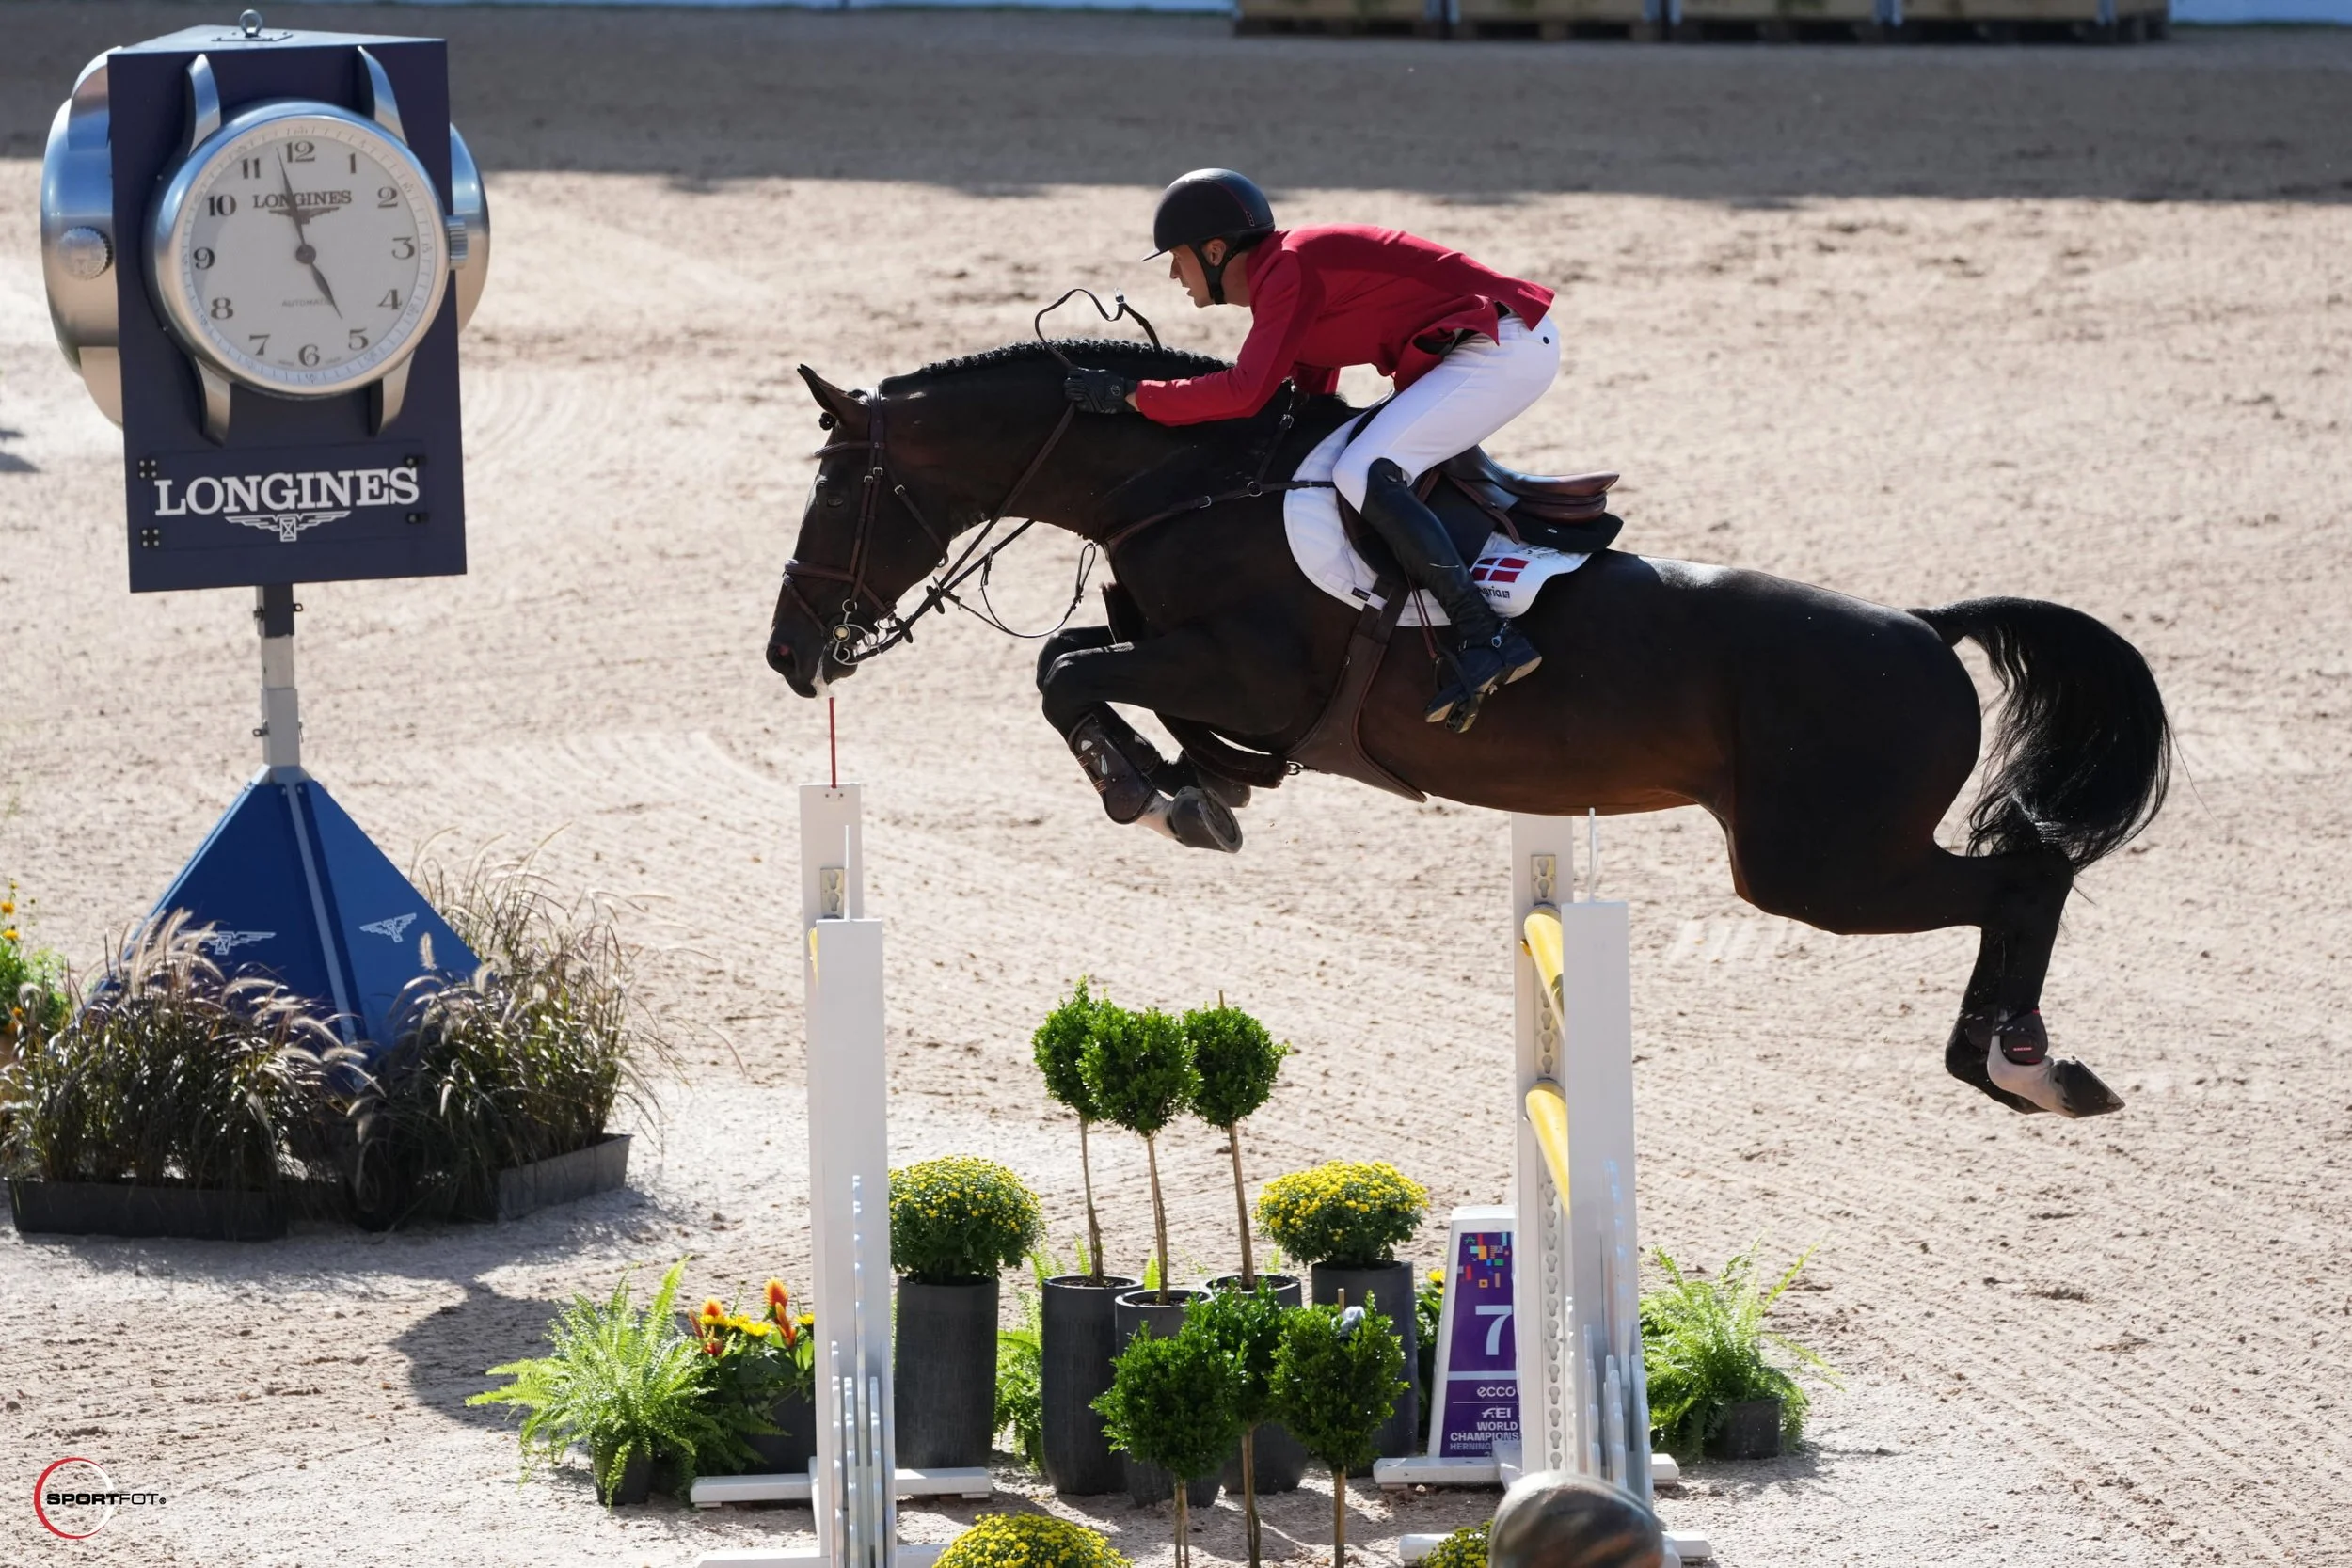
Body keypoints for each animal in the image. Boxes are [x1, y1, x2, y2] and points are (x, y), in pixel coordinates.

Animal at [766, 339, 2171, 1120]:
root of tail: (1927, 627)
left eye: (837, 490)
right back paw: (2012, 1062)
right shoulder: (1212, 677)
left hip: (1817, 867)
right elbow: (1086, 670)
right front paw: (1191, 786)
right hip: (1825, 861)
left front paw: (1156, 793)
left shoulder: (1245, 670)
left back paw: (2028, 1066)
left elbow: (1064, 671)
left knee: (2025, 878)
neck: (1182, 482)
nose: (789, 653)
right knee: (2021, 881)